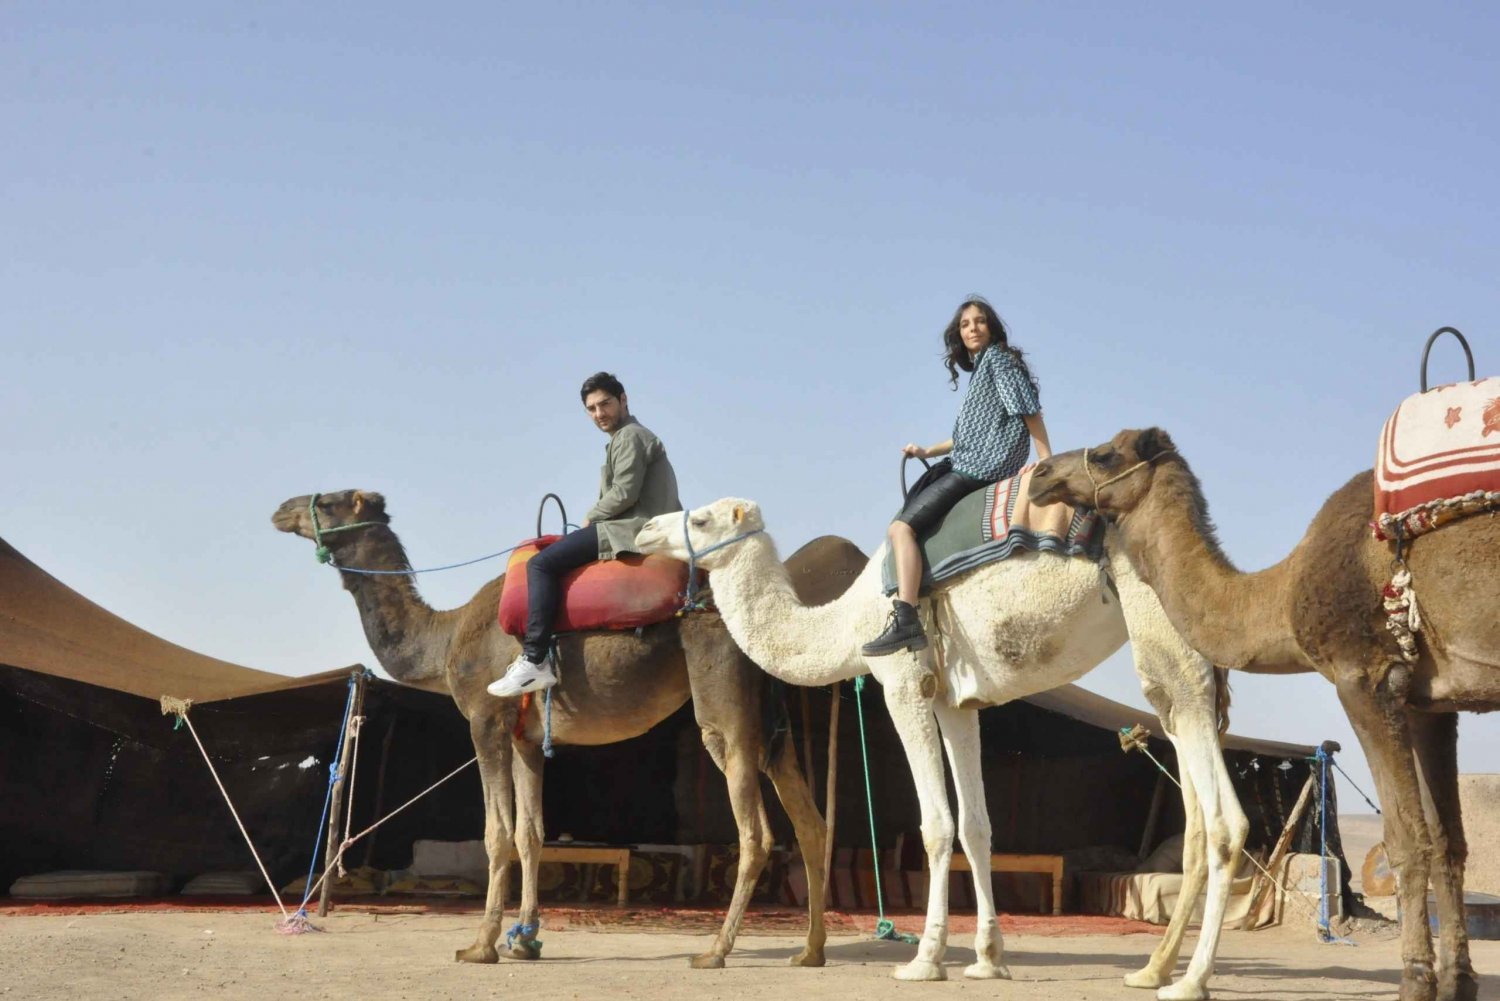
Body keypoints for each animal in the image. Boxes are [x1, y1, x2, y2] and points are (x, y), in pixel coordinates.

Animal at [267, 492, 834, 972]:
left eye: (332, 500)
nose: (281, 509)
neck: (444, 638)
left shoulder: (485, 720)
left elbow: (496, 834)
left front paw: (481, 946)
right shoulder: (524, 737)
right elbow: (530, 833)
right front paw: (524, 940)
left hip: (720, 682)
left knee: (754, 826)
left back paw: (715, 950)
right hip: (773, 714)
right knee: (809, 822)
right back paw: (810, 951)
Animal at [639, 501, 1248, 1001]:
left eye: (701, 519)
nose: (644, 531)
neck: (849, 622)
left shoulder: (903, 681)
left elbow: (936, 825)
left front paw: (925, 960)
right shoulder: (958, 701)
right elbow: (976, 828)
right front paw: (988, 959)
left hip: (1161, 622)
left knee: (1224, 813)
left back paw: (1191, 980)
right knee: (1190, 797)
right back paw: (1152, 969)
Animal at [1032, 429, 1500, 1001]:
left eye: (1103, 455)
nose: (1040, 475)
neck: (1284, 590)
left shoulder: (1364, 677)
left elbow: (1408, 841)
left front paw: (1416, 981)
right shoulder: (1429, 702)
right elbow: (1448, 842)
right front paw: (1458, 981)